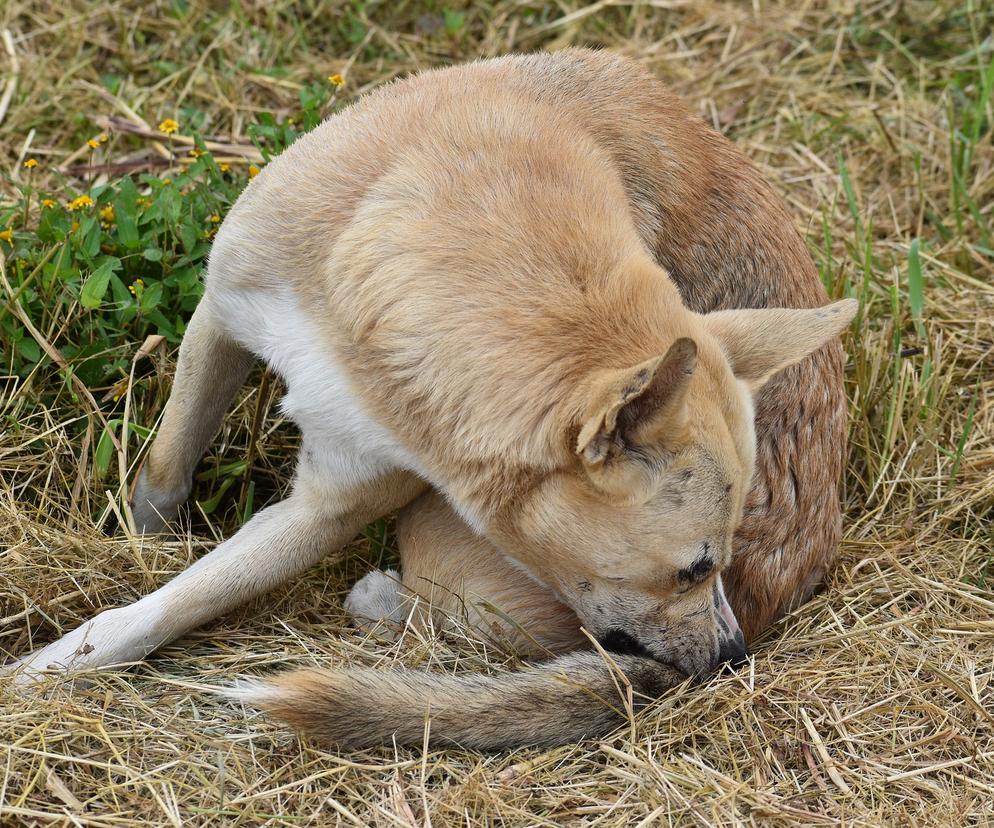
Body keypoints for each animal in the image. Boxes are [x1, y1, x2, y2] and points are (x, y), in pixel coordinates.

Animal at [9, 51, 852, 752]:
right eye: (692, 569)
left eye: (713, 565)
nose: (733, 660)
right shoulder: (221, 316)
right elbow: (165, 470)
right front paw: (139, 546)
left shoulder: (328, 508)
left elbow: (170, 606)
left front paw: (42, 671)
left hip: (434, 539)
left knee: (446, 621)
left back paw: (382, 599)